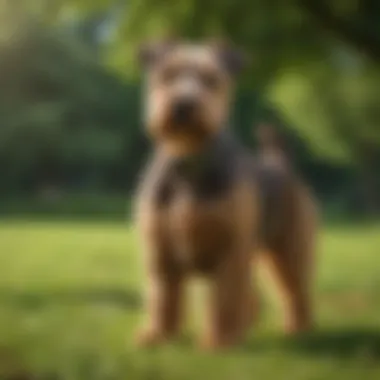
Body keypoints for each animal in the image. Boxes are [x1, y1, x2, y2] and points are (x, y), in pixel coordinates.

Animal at [134, 41, 318, 350]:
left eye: (212, 79)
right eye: (167, 74)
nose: (184, 105)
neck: (189, 159)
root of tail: (280, 163)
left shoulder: (230, 246)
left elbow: (225, 299)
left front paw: (218, 343)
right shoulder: (161, 249)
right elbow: (163, 299)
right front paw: (157, 336)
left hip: (288, 250)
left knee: (295, 292)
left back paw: (297, 329)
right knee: (255, 297)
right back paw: (248, 329)